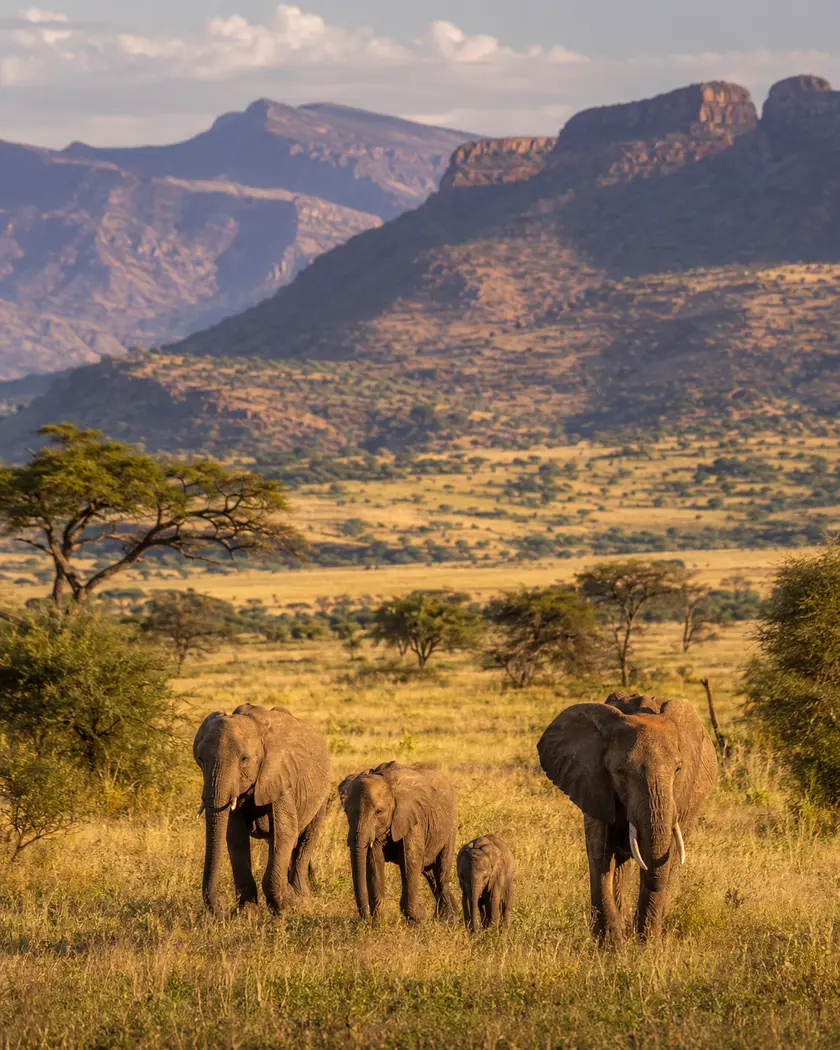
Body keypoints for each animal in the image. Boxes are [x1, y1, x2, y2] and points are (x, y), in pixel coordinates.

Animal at [193, 703, 330, 915]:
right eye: (200, 759)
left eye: (244, 759)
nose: (224, 910)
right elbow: (235, 837)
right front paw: (248, 913)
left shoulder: (281, 777)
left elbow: (285, 833)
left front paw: (286, 905)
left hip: (321, 794)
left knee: (305, 840)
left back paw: (302, 898)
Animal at [338, 761, 458, 923]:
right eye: (346, 812)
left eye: (378, 812)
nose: (366, 918)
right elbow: (374, 862)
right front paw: (380, 923)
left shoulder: (413, 818)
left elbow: (410, 861)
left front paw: (419, 917)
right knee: (430, 873)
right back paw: (451, 915)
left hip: (450, 826)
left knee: (441, 872)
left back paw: (447, 919)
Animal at [537, 692, 717, 941]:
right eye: (620, 772)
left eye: (678, 770)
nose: (636, 932)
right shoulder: (593, 784)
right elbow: (601, 855)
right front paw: (611, 941)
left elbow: (665, 857)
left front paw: (646, 943)